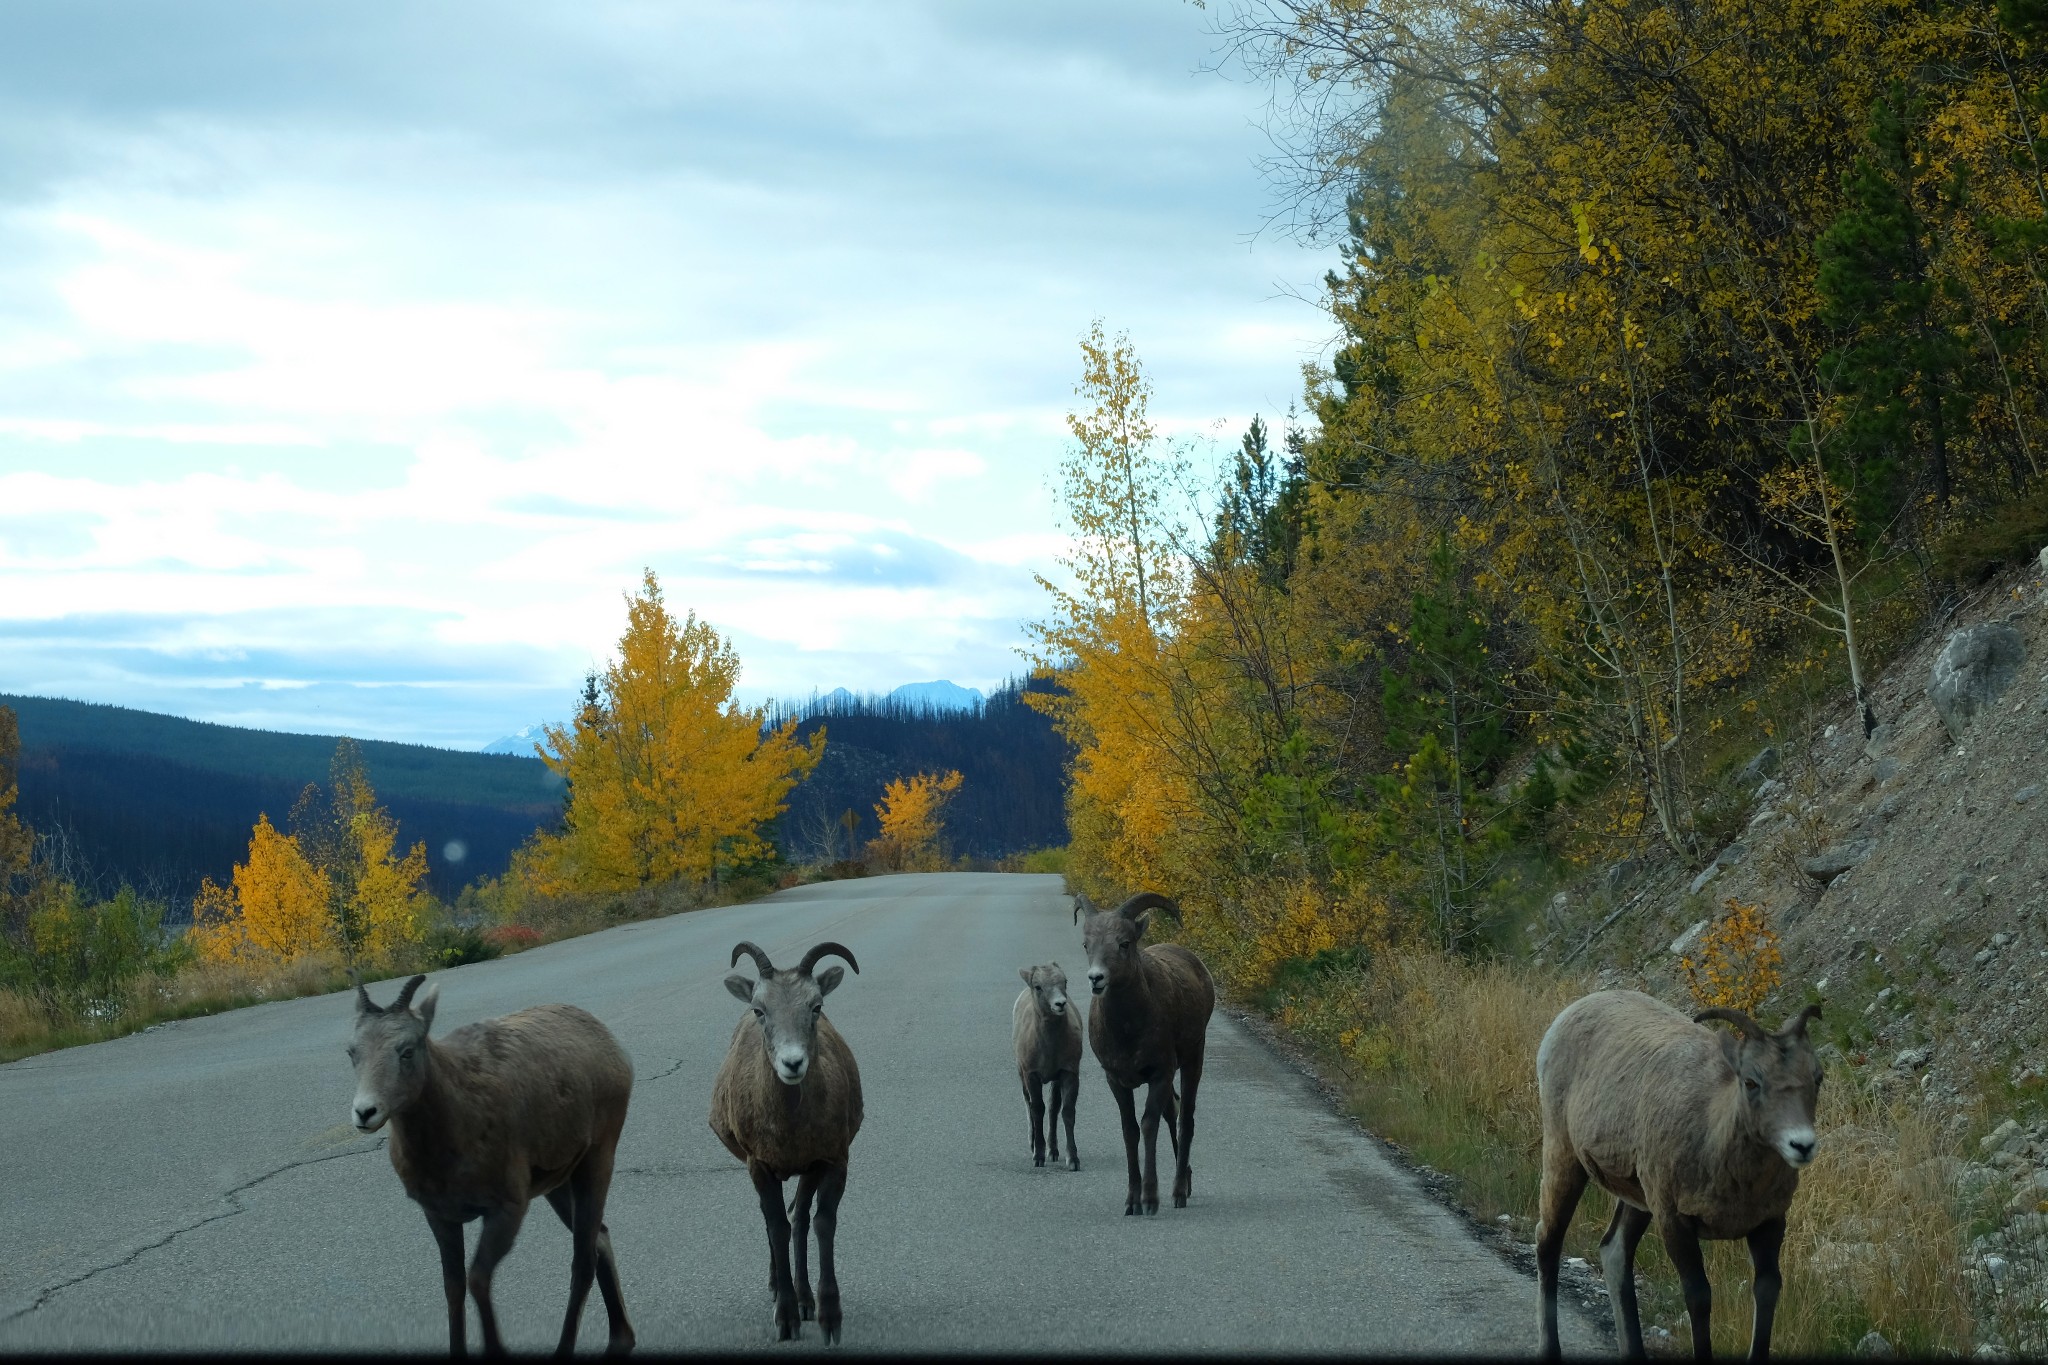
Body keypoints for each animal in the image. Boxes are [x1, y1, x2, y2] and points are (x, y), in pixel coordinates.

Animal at [344, 970, 634, 1358]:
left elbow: (477, 1280)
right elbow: (453, 1288)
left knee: (583, 1262)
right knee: (599, 1239)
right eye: (352, 1051)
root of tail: (610, 1043)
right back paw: (620, 1340)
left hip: (596, 1162)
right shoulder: (440, 1216)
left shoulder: (506, 1211)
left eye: (407, 1050)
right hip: (558, 1185)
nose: (365, 1112)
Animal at [712, 941, 864, 1342]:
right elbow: (776, 1228)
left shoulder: (830, 1162)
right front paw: (785, 1319)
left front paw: (828, 1319)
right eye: (759, 1010)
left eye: (816, 1006)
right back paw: (780, 1290)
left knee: (799, 1220)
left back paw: (805, 1300)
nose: (792, 1063)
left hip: (806, 1173)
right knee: (776, 1223)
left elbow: (821, 1224)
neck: (789, 1127)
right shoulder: (760, 1166)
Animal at [1011, 961, 1081, 1178]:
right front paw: (1038, 1157)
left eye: (1064, 981)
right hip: (1022, 1075)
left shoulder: (1068, 1073)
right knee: (1029, 1104)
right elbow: (1037, 1109)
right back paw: (1034, 1145)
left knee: (1053, 1108)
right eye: (1038, 986)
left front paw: (1073, 1160)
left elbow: (1066, 1111)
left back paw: (1054, 1151)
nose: (1060, 1004)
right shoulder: (1031, 1075)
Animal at [1073, 896, 1212, 1219]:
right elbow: (1130, 1131)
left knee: (1185, 1119)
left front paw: (1150, 1201)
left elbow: (1149, 1126)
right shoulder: (1116, 1081)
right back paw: (1185, 1182)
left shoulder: (1159, 1074)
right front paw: (1131, 1202)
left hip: (1193, 1060)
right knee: (1173, 1111)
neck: (1128, 1031)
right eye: (1086, 944)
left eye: (1124, 943)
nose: (1096, 978)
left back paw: (1179, 1193)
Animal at [1540, 994, 1826, 1365]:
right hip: (1565, 1157)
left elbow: (1767, 1290)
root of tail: (1572, 1010)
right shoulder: (1675, 1221)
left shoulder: (1770, 1223)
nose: (1801, 1145)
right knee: (1548, 1242)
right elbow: (1698, 1297)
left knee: (1614, 1251)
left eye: (1817, 1078)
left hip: (1639, 1200)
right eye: (1750, 1081)